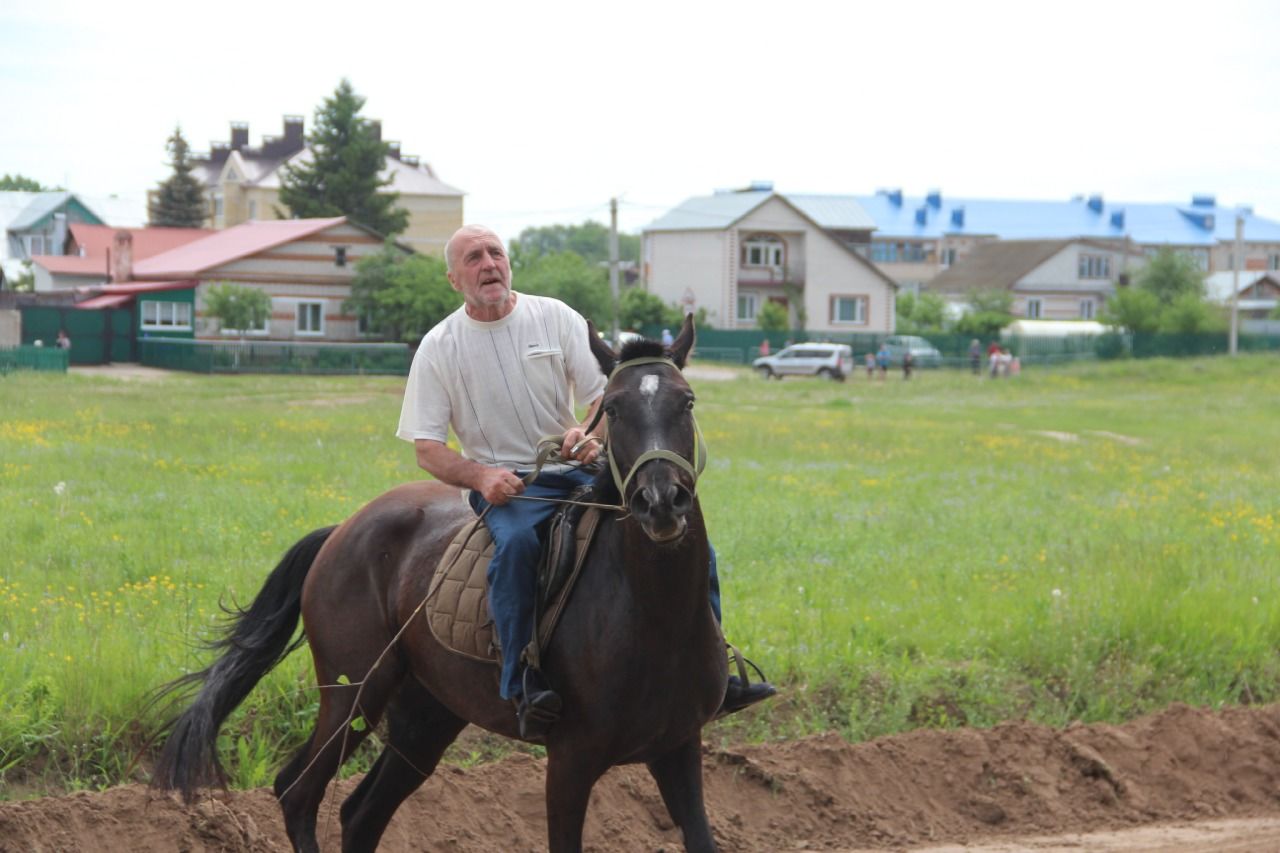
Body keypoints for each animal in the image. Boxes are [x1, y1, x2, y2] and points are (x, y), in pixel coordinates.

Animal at [149, 315, 732, 845]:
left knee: (359, 816)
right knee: (298, 794)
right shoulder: (571, 762)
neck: (652, 618)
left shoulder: (679, 748)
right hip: (353, 696)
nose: (661, 501)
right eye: (613, 408)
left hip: (425, 717)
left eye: (687, 401)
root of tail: (342, 531)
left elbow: (702, 835)